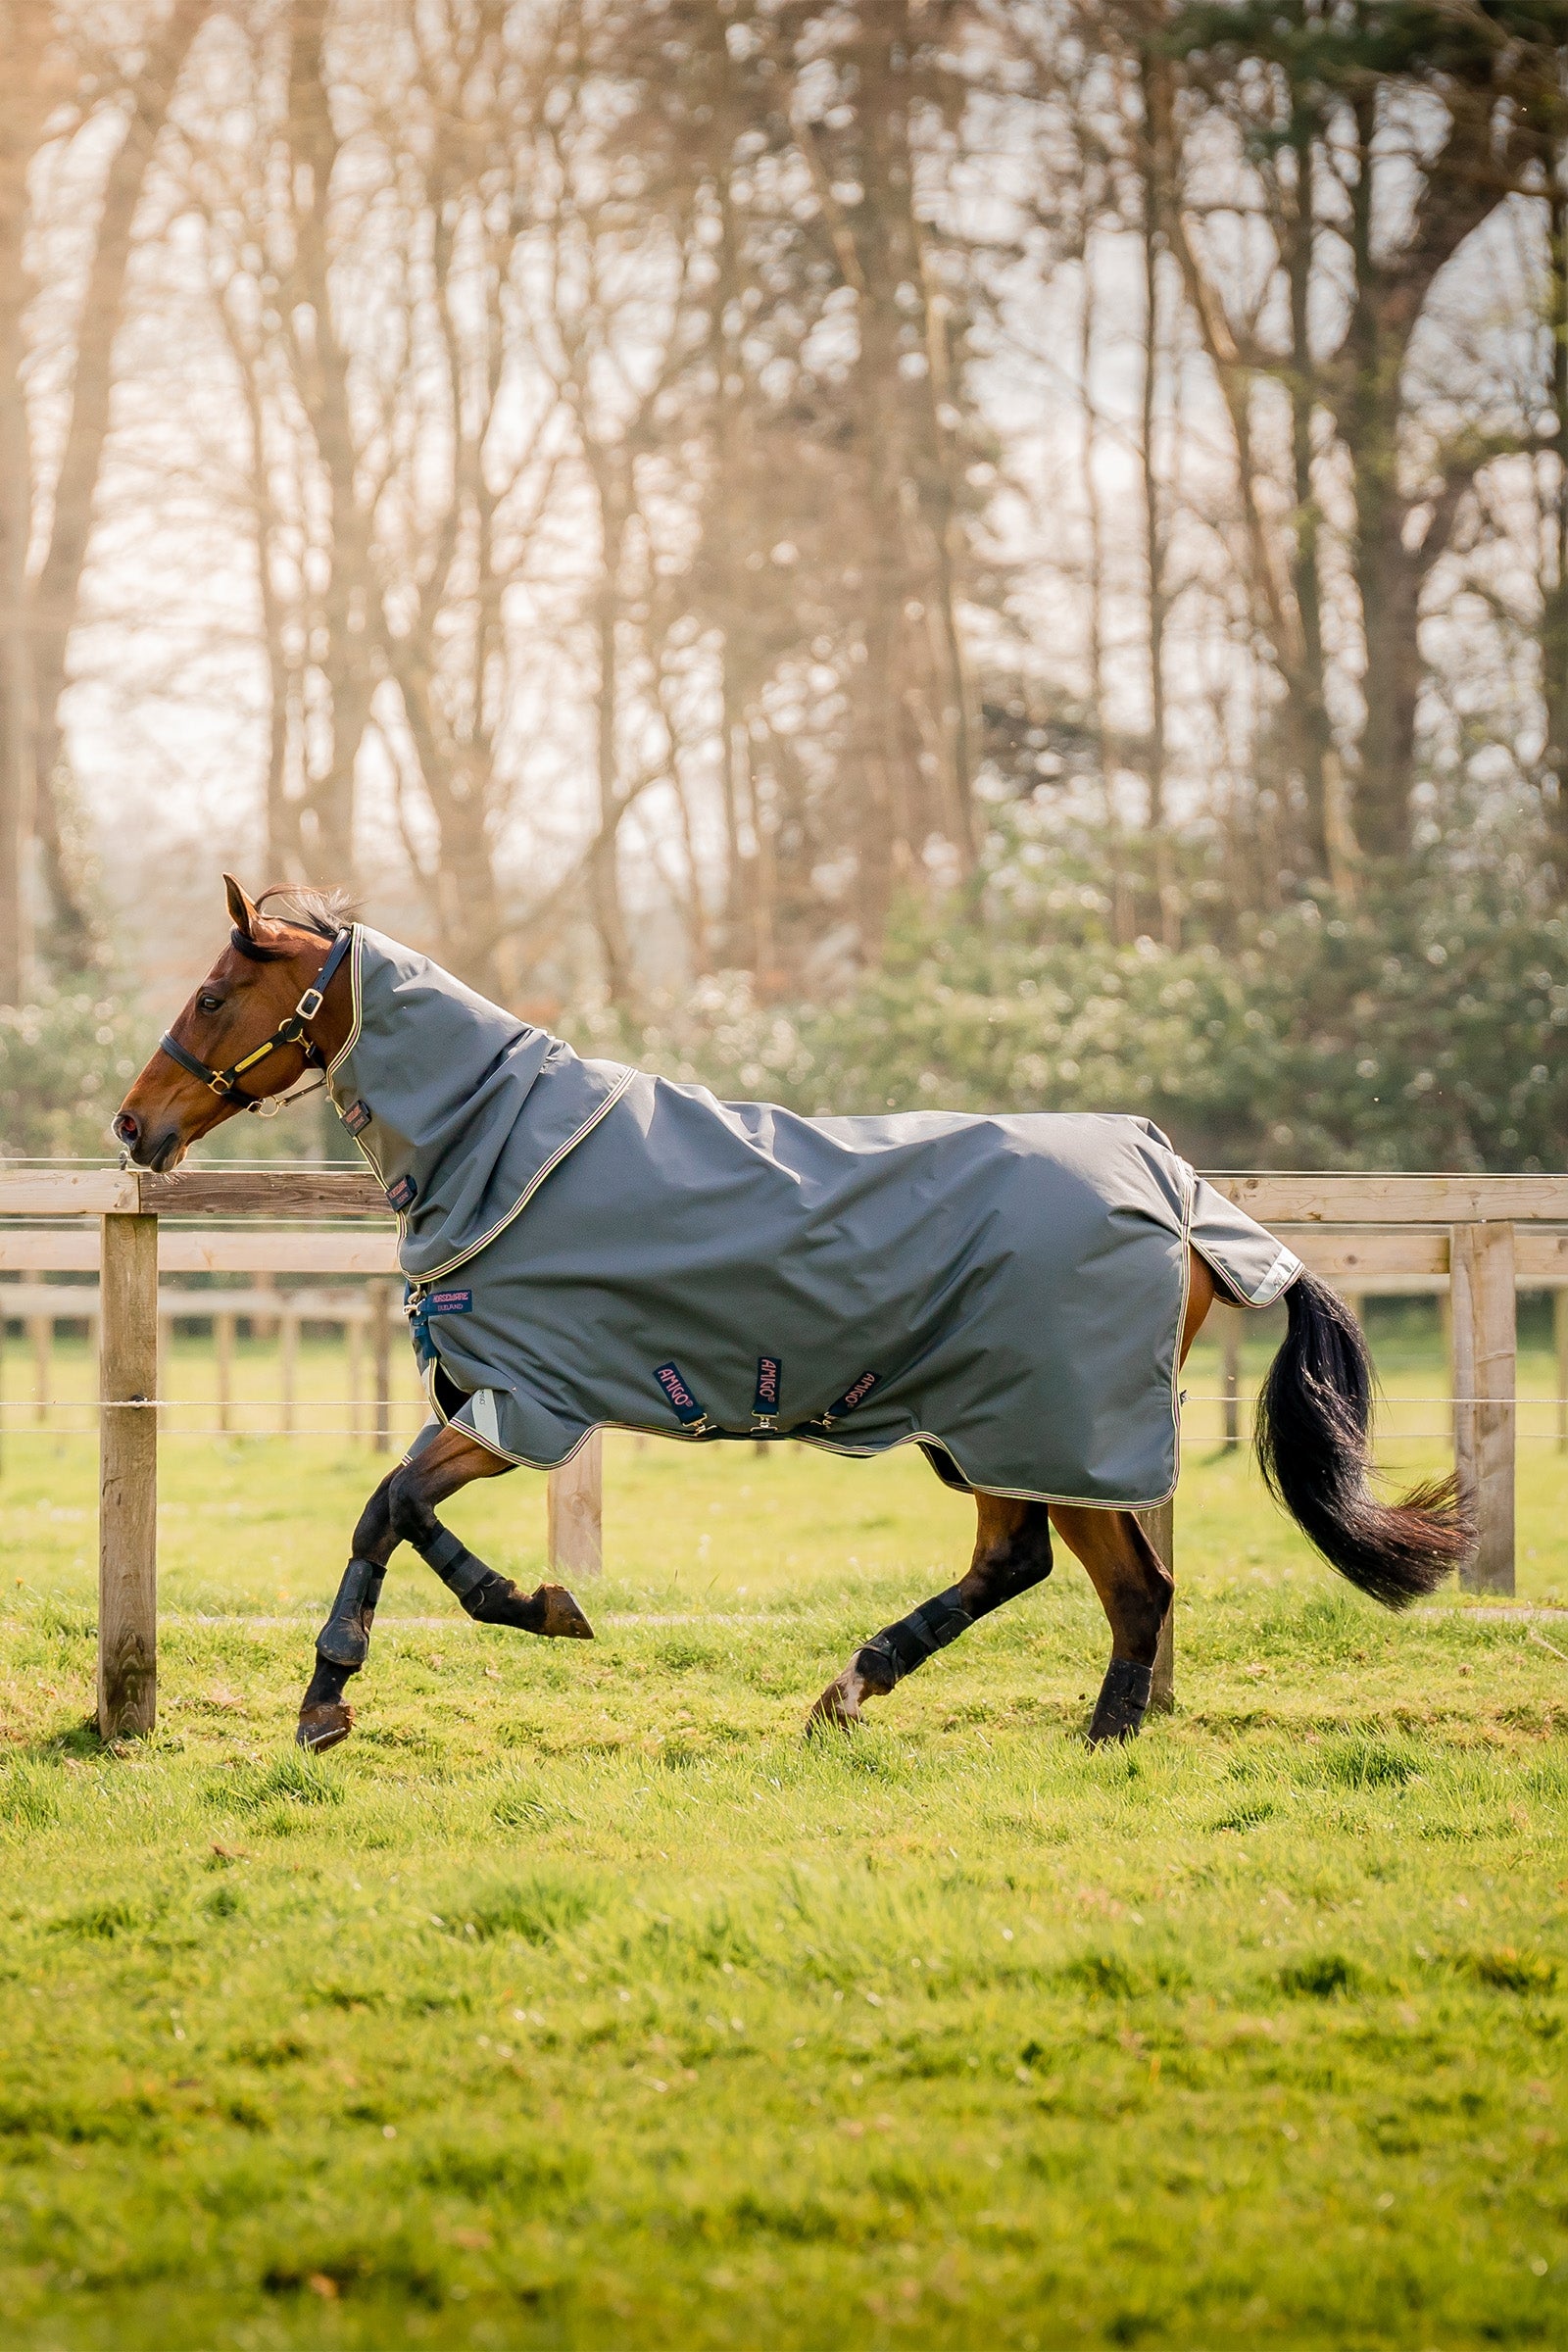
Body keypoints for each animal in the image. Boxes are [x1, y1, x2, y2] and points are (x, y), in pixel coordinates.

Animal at [113, 878, 1473, 1755]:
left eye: (216, 989)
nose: (135, 1126)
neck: (504, 1151)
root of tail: (1185, 1194)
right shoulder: (500, 1401)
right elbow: (405, 1513)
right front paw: (530, 1612)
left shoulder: (529, 1402)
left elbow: (387, 1505)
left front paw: (337, 1695)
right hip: (992, 1431)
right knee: (1026, 1565)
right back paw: (857, 1691)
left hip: (1052, 1427)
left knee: (1127, 1590)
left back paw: (1081, 1736)